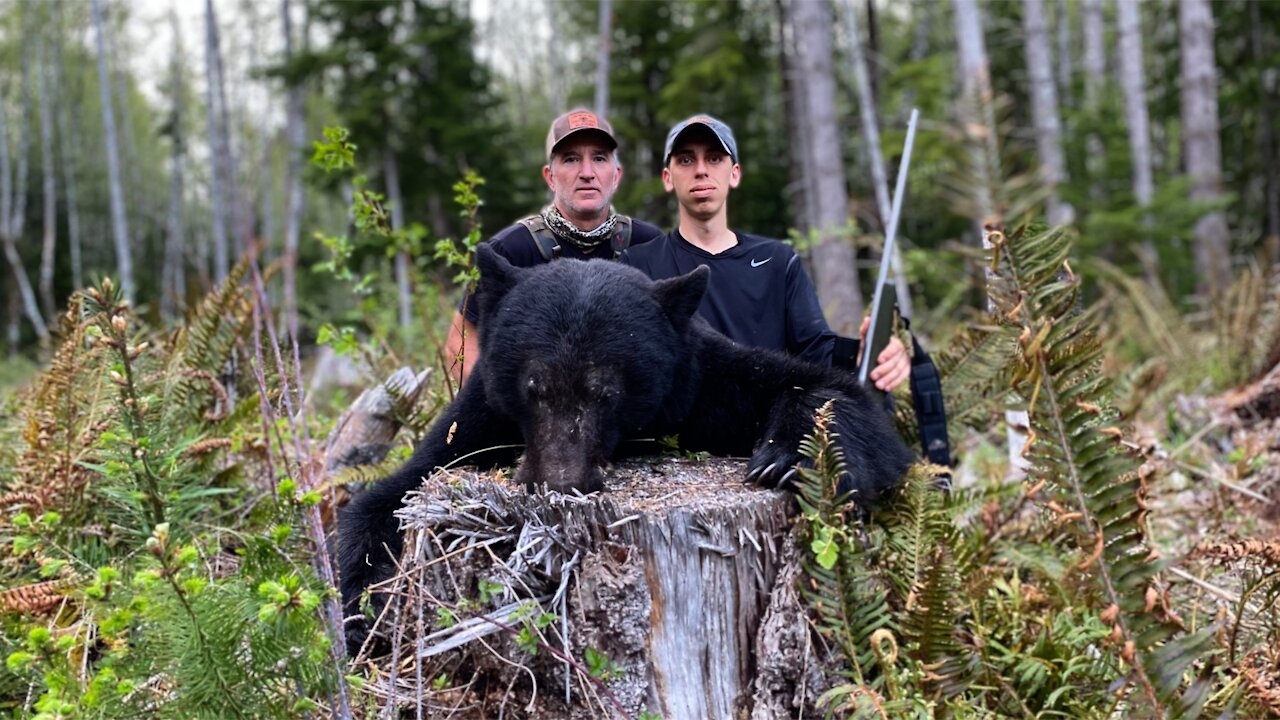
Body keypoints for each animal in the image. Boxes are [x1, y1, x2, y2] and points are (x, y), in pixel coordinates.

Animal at [340, 243, 916, 648]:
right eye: (534, 387)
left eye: (605, 392)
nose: (560, 480)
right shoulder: (481, 417)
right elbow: (387, 496)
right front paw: (366, 619)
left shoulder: (701, 384)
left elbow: (829, 392)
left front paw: (784, 459)